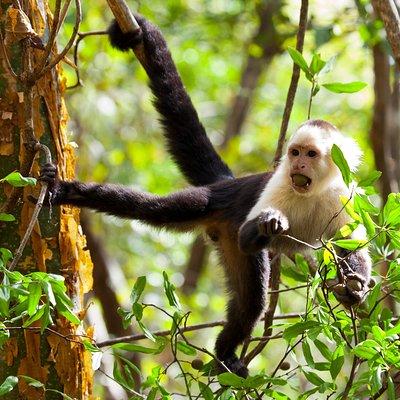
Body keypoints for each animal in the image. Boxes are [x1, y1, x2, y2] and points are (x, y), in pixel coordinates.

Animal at [40, 16, 372, 378]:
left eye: (311, 154)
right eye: (295, 152)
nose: (297, 163)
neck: (313, 191)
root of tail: (229, 184)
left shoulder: (344, 196)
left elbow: (351, 245)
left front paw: (354, 287)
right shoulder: (278, 185)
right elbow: (249, 234)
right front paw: (269, 223)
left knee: (247, 301)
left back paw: (227, 353)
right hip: (215, 209)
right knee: (163, 214)